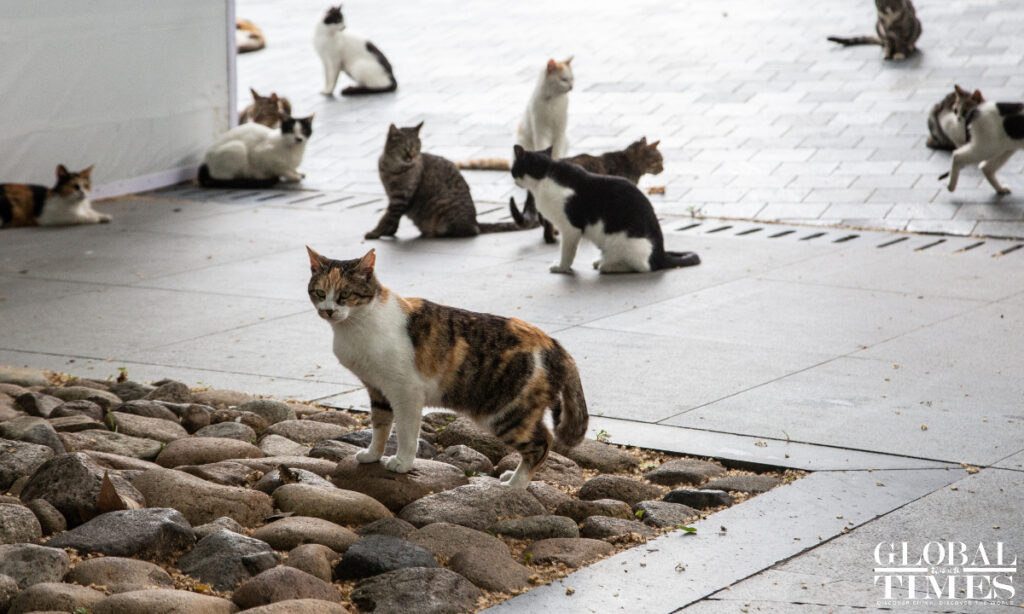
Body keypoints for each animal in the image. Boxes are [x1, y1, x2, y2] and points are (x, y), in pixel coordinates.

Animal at [303, 246, 589, 487]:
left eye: (345, 294)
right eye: (320, 293)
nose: (328, 310)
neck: (358, 325)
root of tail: (553, 344)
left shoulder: (406, 392)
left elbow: (406, 432)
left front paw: (402, 463)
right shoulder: (378, 389)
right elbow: (380, 426)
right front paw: (373, 454)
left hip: (505, 411)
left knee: (542, 444)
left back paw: (514, 486)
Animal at [364, 122, 532, 239]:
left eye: (417, 147)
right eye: (404, 148)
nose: (411, 156)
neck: (392, 169)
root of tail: (475, 222)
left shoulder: (401, 198)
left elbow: (387, 217)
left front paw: (375, 233)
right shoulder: (394, 197)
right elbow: (393, 219)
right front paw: (389, 232)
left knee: (467, 231)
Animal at [509, 145, 700, 274]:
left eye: (514, 168)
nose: (514, 179)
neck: (545, 174)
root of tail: (660, 254)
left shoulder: (571, 228)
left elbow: (568, 252)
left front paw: (562, 267)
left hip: (626, 242)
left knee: (643, 267)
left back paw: (610, 265)